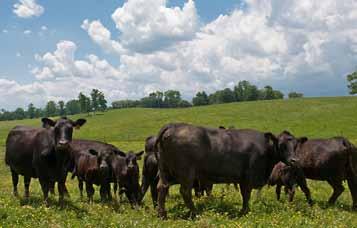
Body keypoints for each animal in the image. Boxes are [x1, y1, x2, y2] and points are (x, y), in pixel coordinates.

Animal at [154, 123, 290, 219]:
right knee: (185, 192)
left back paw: (162, 215)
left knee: (162, 188)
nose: (293, 160)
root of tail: (173, 125)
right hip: (186, 173)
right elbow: (246, 195)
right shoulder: (247, 178)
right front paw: (244, 212)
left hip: (166, 172)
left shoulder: (242, 179)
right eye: (282, 145)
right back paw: (195, 213)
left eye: (293, 144)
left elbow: (245, 196)